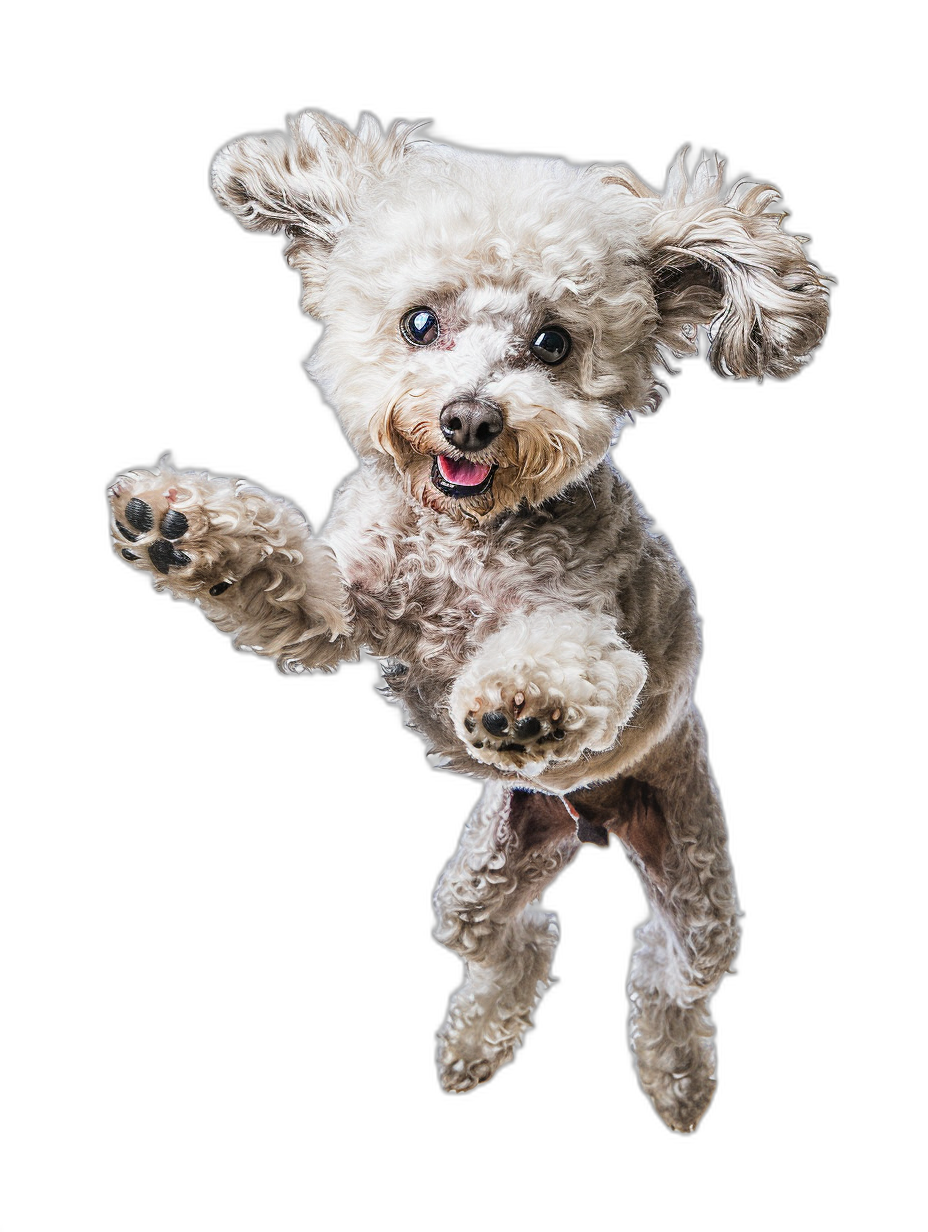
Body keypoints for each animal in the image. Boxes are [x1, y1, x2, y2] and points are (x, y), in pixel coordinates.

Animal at [104, 110, 828, 1128]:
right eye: (421, 322)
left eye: (554, 343)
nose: (470, 419)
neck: (466, 537)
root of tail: (591, 823)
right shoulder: (342, 605)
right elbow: (292, 582)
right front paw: (180, 523)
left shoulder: (595, 628)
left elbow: (572, 660)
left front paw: (520, 702)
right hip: (489, 871)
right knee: (514, 943)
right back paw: (474, 1046)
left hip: (694, 872)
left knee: (671, 972)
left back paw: (677, 1078)